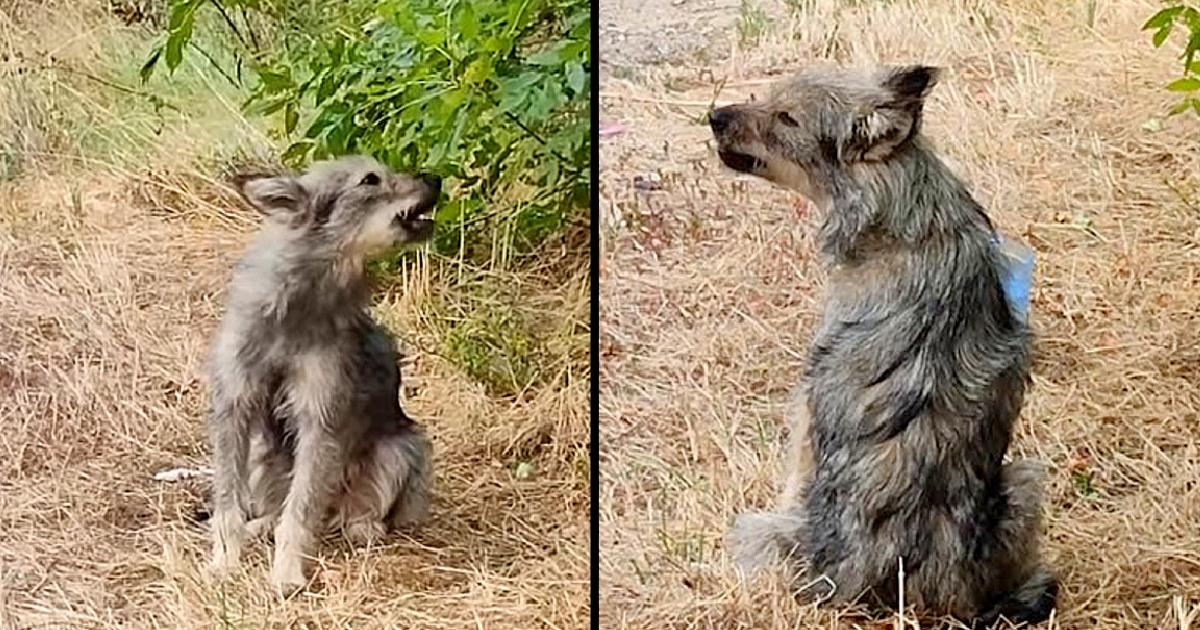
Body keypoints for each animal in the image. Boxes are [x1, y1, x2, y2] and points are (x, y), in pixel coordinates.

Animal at [205, 154, 441, 592]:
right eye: (370, 179)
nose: (435, 178)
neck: (298, 304)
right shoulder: (234, 408)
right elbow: (229, 503)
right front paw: (224, 563)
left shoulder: (319, 419)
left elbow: (298, 514)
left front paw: (285, 573)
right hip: (262, 453)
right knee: (274, 508)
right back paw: (260, 524)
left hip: (401, 448)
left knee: (353, 513)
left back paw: (363, 527)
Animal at [710, 63, 1060, 624]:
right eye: (765, 96)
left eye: (787, 118)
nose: (713, 116)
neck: (903, 220)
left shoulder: (807, 412)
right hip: (1025, 481)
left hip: (756, 530)